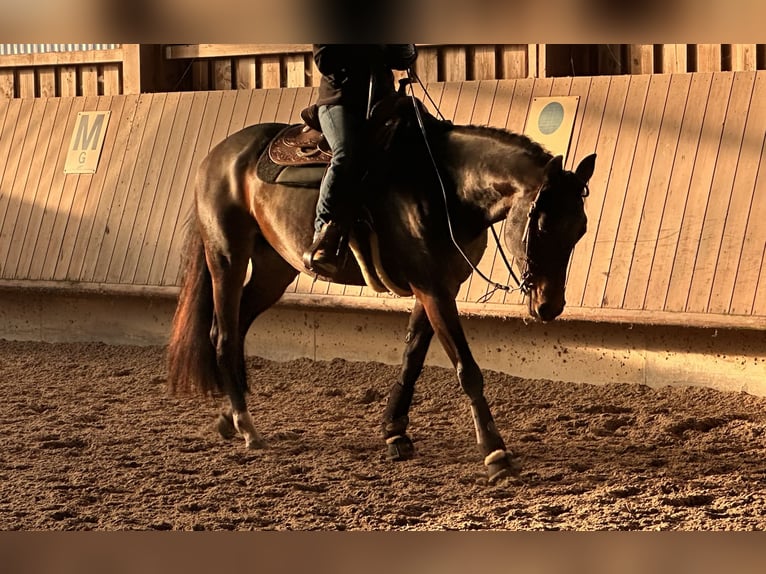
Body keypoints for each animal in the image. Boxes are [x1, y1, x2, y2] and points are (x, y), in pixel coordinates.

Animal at [166, 97, 596, 483]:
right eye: (542, 225)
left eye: (581, 229)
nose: (549, 305)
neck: (443, 186)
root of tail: (219, 154)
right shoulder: (432, 287)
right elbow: (466, 368)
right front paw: (495, 453)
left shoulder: (439, 287)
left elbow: (412, 357)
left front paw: (394, 431)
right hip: (227, 257)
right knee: (223, 333)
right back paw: (247, 426)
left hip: (274, 268)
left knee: (238, 324)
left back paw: (230, 417)